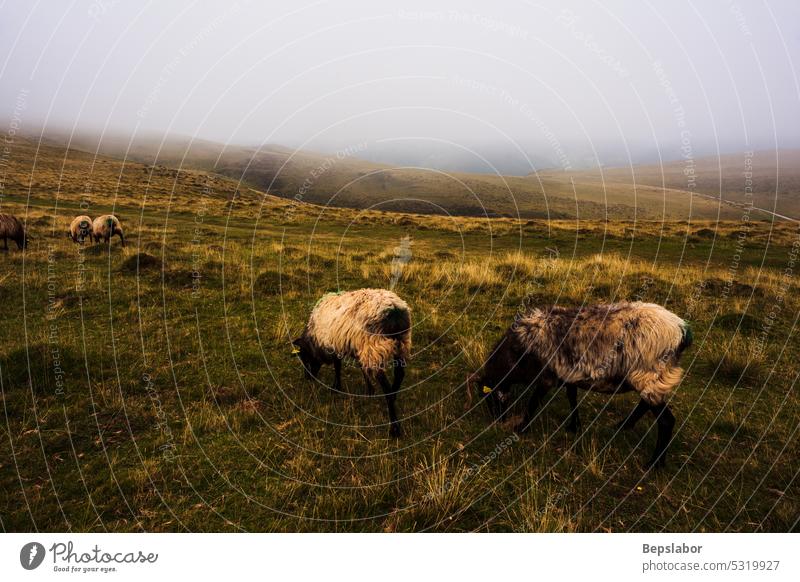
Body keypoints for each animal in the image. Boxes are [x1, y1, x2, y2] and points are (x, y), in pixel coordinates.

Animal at [472, 304, 692, 468]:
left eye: (487, 396)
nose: (497, 421)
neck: (515, 354)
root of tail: (682, 331)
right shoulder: (568, 374)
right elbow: (572, 397)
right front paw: (574, 426)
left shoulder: (546, 378)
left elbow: (533, 403)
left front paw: (521, 428)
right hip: (650, 378)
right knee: (645, 404)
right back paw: (623, 426)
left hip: (649, 374)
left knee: (666, 420)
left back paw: (654, 464)